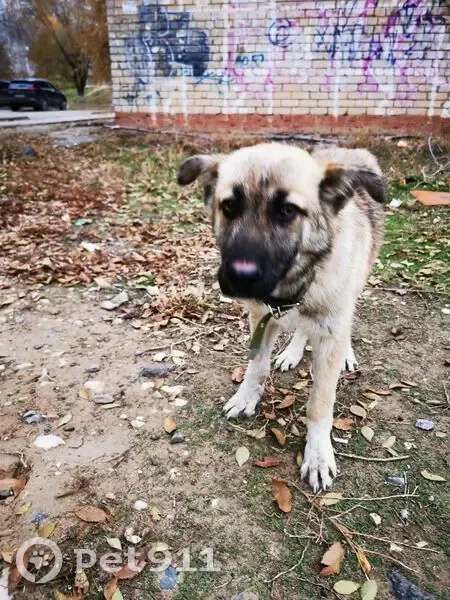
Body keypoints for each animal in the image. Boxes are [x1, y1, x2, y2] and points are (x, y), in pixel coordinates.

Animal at [177, 143, 385, 491]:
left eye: (288, 210)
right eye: (229, 206)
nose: (240, 278)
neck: (293, 286)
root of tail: (349, 150)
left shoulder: (329, 329)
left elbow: (320, 403)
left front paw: (318, 454)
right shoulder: (262, 318)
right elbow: (256, 367)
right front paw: (247, 397)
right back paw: (292, 352)